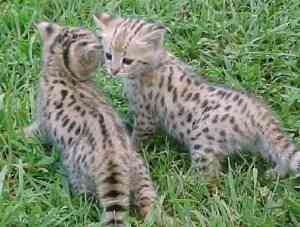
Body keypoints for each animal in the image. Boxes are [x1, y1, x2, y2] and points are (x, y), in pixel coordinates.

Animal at [24, 22, 157, 226]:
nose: (104, 47)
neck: (61, 68)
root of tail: (113, 159)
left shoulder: (43, 122)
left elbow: (35, 131)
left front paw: (21, 135)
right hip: (141, 170)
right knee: (148, 199)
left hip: (77, 173)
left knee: (86, 194)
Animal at [94, 13, 300, 178]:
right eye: (108, 55)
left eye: (127, 60)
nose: (113, 71)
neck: (156, 62)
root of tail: (258, 111)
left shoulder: (146, 117)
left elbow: (138, 137)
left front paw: (130, 149)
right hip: (262, 142)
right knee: (282, 157)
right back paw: (275, 173)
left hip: (202, 138)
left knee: (210, 177)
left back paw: (187, 183)